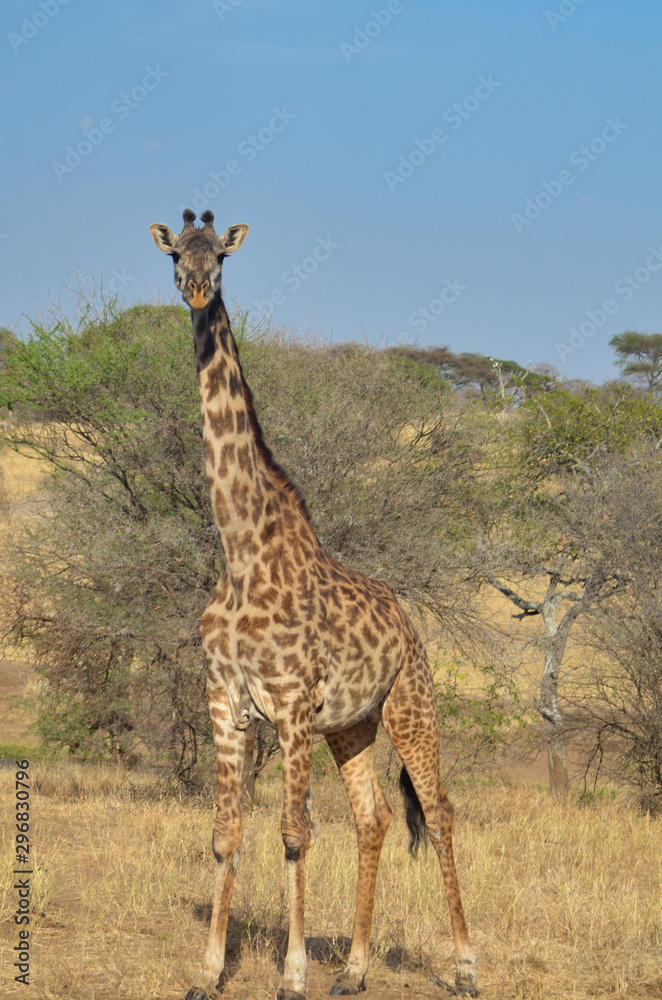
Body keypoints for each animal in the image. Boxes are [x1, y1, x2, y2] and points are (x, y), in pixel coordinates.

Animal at [149, 210, 478, 1000]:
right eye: (174, 256)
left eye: (221, 257)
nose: (196, 289)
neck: (241, 550)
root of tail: (410, 623)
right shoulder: (226, 702)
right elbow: (225, 834)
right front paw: (208, 971)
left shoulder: (292, 705)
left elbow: (295, 835)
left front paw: (292, 975)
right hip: (352, 725)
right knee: (375, 817)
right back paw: (354, 970)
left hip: (409, 705)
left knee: (441, 810)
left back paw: (464, 965)